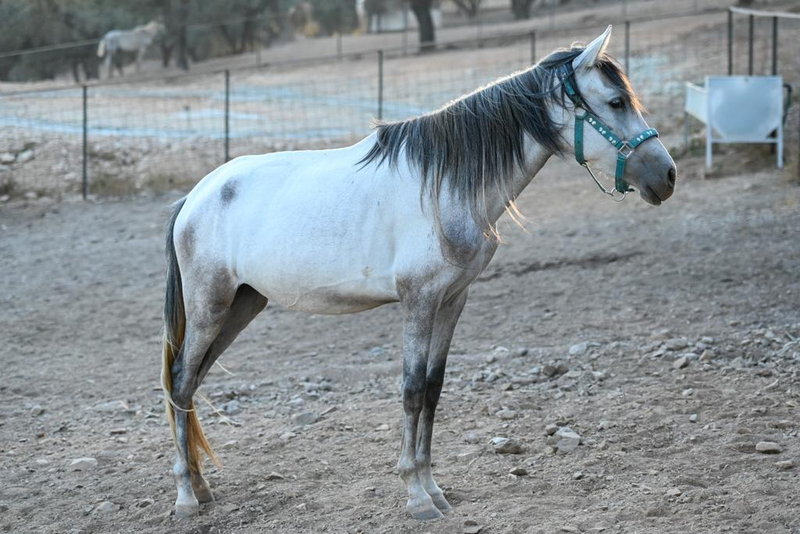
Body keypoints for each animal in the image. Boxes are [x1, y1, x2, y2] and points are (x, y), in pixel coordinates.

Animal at [161, 26, 676, 521]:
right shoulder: (419, 302)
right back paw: (185, 498)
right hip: (210, 307)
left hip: (242, 305)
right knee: (182, 380)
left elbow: (432, 389)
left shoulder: (451, 301)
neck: (443, 185)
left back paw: (202, 488)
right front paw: (416, 496)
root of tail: (194, 197)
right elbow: (410, 391)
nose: (667, 176)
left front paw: (434, 488)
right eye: (615, 102)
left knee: (192, 383)